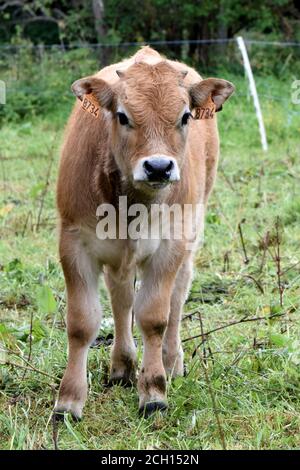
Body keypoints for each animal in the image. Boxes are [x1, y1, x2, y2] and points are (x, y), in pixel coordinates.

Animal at [54, 46, 234, 418]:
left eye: (185, 116)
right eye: (122, 116)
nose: (159, 167)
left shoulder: (170, 246)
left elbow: (153, 316)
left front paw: (153, 393)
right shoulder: (74, 242)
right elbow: (81, 323)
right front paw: (68, 401)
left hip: (192, 233)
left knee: (177, 296)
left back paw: (171, 361)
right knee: (122, 298)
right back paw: (122, 366)